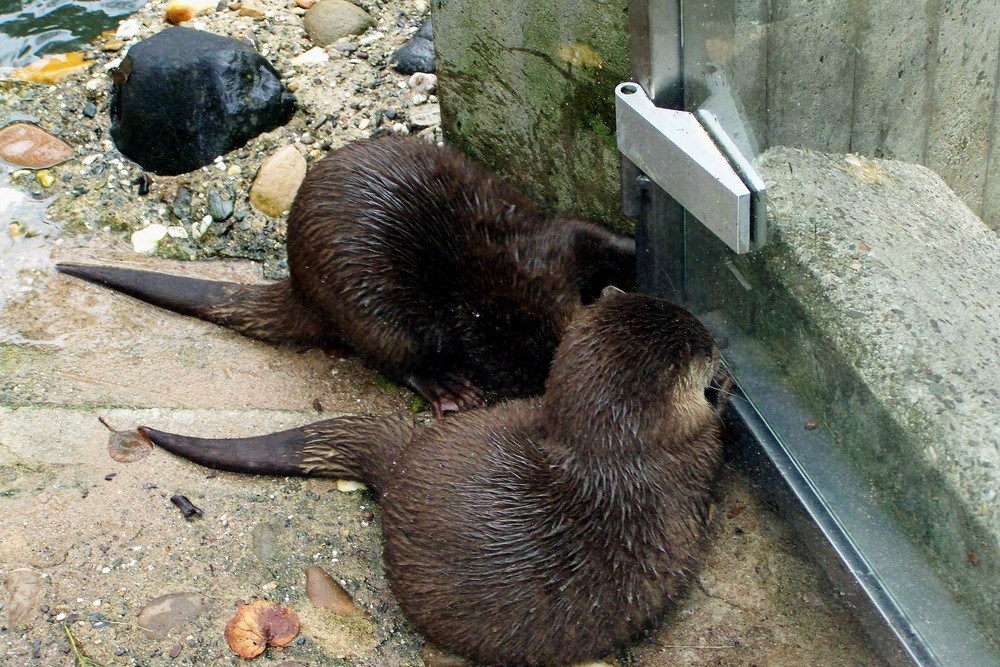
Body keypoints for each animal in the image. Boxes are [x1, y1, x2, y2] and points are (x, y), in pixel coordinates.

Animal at [56, 137, 632, 418]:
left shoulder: (543, 240)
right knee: (391, 355)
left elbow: (589, 233)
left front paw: (630, 249)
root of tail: (299, 287)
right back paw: (447, 388)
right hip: (366, 306)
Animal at [141, 292, 732, 667]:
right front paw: (725, 390)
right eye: (704, 343)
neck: (611, 452)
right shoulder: (697, 456)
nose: (718, 339)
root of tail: (402, 461)